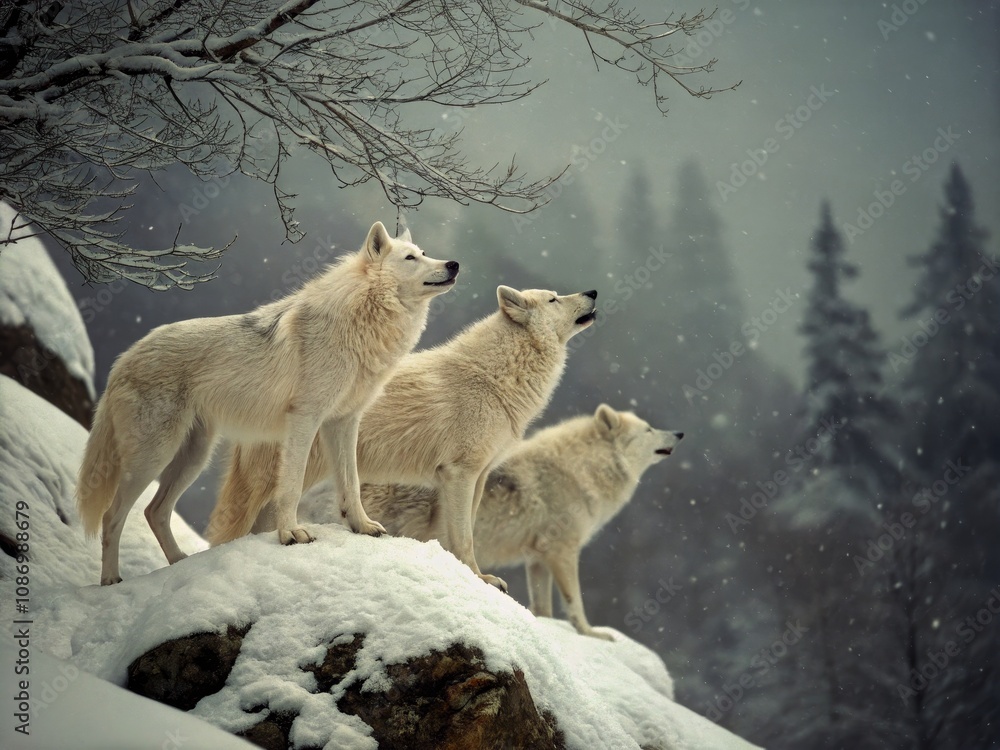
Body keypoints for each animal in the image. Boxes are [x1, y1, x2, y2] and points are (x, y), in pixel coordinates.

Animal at [77, 222, 457, 585]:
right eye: (410, 258)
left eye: (425, 253)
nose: (453, 264)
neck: (363, 321)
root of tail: (124, 358)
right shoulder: (305, 419)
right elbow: (290, 486)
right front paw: (290, 534)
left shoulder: (344, 422)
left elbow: (351, 482)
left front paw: (362, 526)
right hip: (153, 458)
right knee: (112, 515)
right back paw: (110, 579)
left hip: (193, 457)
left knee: (154, 511)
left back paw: (178, 564)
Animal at [207, 286, 598, 591]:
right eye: (553, 298)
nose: (593, 292)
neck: (494, 378)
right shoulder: (459, 474)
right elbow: (464, 537)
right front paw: (477, 578)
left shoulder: (476, 476)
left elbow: (458, 535)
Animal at [326, 405, 683, 638]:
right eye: (649, 429)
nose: (680, 432)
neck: (582, 469)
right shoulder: (562, 550)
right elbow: (575, 604)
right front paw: (592, 633)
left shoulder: (538, 559)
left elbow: (544, 610)